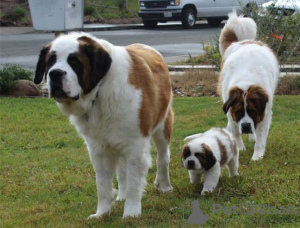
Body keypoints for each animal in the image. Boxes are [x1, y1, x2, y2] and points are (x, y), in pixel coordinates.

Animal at [34, 32, 173, 219]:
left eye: (75, 61)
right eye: (51, 61)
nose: (55, 73)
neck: (99, 93)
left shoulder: (135, 146)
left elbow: (134, 182)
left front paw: (131, 214)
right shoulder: (97, 149)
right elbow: (102, 184)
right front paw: (101, 213)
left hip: (163, 125)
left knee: (163, 157)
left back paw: (164, 186)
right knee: (122, 171)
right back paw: (122, 195)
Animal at [218, 10, 278, 160]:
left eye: (252, 111)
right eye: (239, 112)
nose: (245, 126)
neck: (246, 81)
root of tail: (243, 42)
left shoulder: (265, 112)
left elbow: (261, 136)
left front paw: (257, 155)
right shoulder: (230, 109)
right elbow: (235, 130)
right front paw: (239, 148)